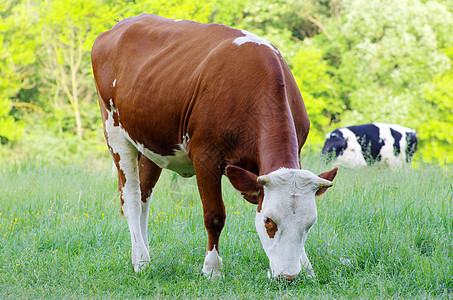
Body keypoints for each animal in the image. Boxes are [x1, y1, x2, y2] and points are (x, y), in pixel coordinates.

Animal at [92, 13, 338, 282]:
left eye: (309, 224)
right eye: (268, 221)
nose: (289, 277)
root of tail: (120, 25)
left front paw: (307, 267)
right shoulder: (205, 157)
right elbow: (214, 215)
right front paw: (212, 269)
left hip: (151, 144)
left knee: (145, 197)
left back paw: (145, 254)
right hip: (115, 133)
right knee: (132, 199)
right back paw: (141, 260)